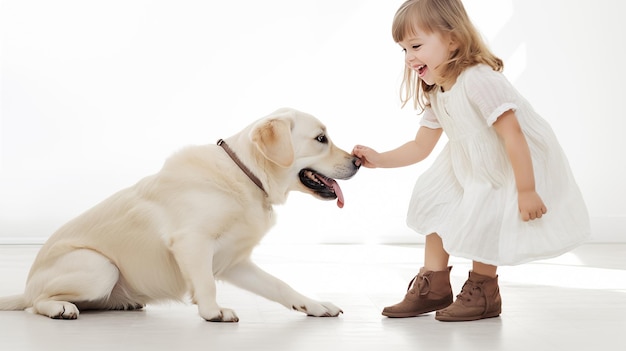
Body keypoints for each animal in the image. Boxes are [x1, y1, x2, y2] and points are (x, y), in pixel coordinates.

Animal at [0, 108, 358, 324]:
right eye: (321, 139)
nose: (357, 160)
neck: (244, 176)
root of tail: (27, 285)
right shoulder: (192, 242)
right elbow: (206, 285)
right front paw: (213, 312)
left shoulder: (235, 263)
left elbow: (281, 285)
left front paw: (314, 305)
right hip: (99, 266)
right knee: (36, 302)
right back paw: (60, 307)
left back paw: (121, 303)